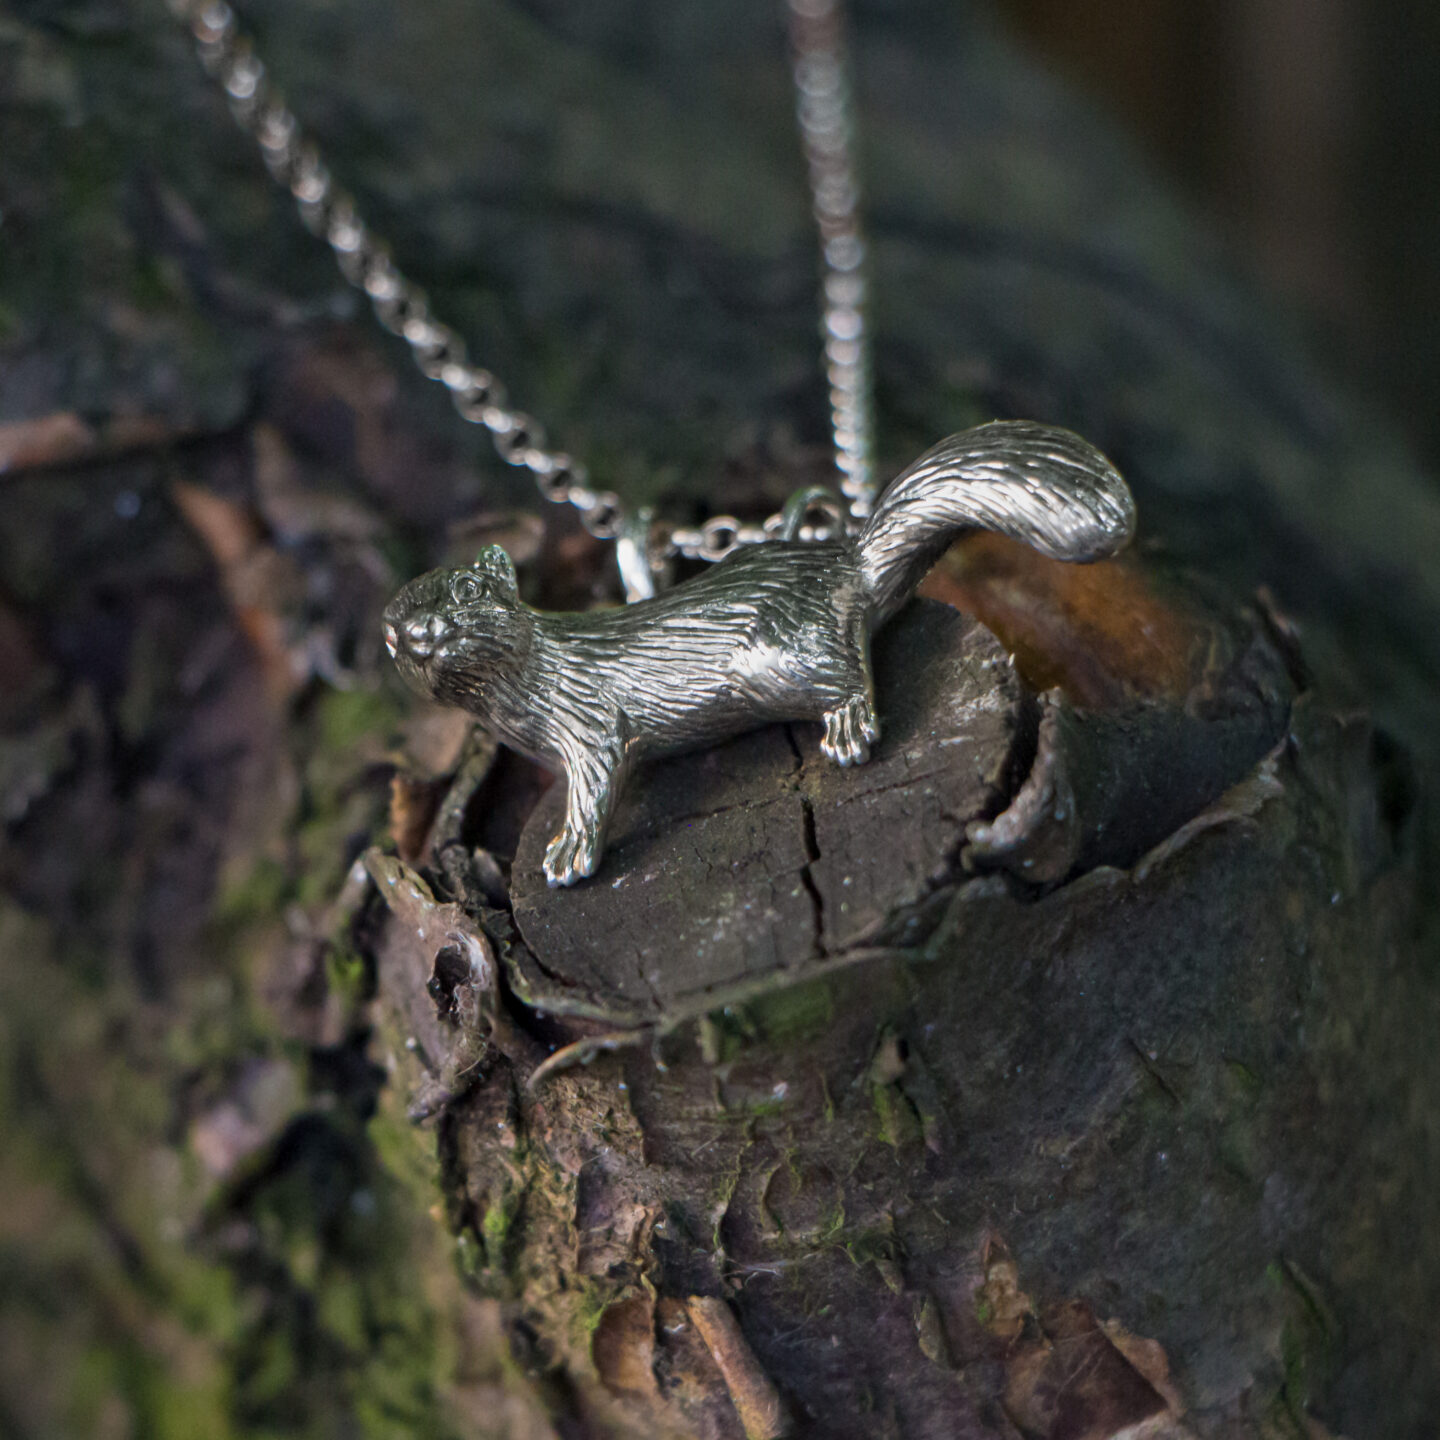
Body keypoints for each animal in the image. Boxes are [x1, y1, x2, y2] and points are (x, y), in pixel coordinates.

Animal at [384, 420, 1136, 887]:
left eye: (468, 592)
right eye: (393, 630)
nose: (422, 633)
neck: (527, 703)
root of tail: (843, 565)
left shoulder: (588, 724)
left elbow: (594, 790)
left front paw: (569, 854)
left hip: (777, 656)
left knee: (852, 669)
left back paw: (849, 733)